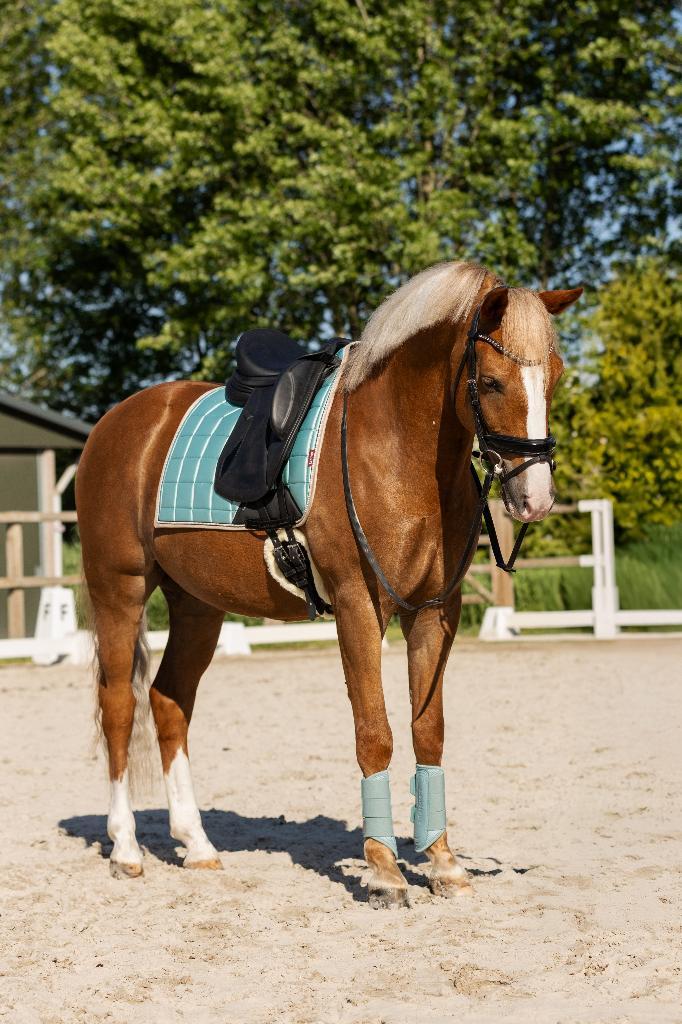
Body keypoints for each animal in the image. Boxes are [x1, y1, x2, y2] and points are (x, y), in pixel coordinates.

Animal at [76, 261, 581, 907]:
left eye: (556, 378)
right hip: (120, 588)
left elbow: (429, 731)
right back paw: (126, 849)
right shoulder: (357, 605)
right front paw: (386, 870)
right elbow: (375, 732)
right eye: (491, 383)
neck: (395, 450)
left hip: (197, 605)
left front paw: (442, 863)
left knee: (169, 702)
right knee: (119, 705)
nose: (535, 497)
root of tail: (117, 423)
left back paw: (198, 845)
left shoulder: (434, 612)